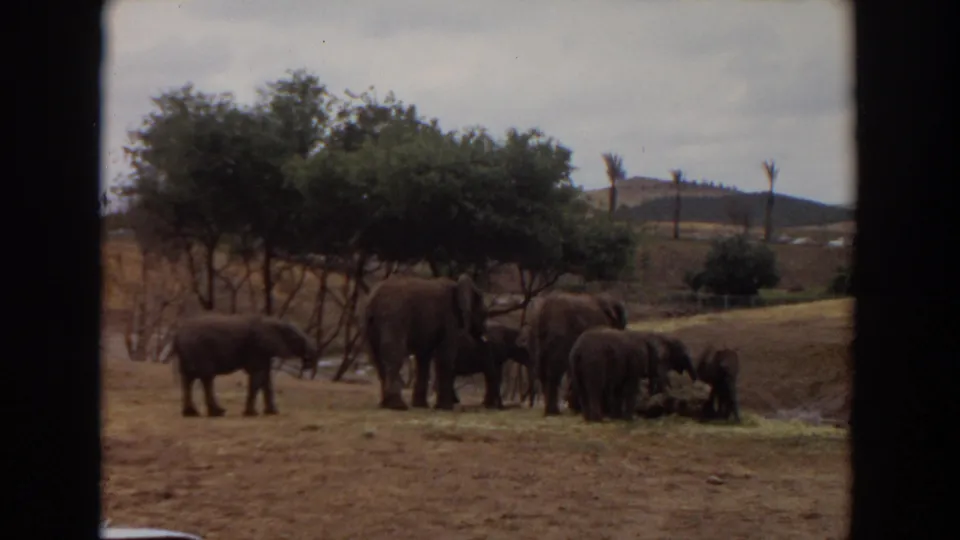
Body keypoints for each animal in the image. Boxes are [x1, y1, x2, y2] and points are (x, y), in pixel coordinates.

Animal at [172, 313, 318, 417]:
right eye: (297, 339)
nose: (306, 364)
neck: (272, 322)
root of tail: (177, 334)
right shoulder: (257, 347)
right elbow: (258, 376)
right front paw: (251, 414)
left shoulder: (263, 352)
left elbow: (266, 379)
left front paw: (273, 413)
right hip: (200, 351)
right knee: (206, 378)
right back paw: (218, 413)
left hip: (187, 354)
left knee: (188, 379)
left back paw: (191, 414)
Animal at [362, 273, 488, 411]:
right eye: (484, 313)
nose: (482, 333)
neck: (458, 284)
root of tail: (372, 301)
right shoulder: (450, 318)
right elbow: (445, 356)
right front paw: (445, 408)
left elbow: (423, 358)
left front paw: (421, 406)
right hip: (393, 317)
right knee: (394, 355)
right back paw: (398, 406)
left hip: (369, 323)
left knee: (376, 357)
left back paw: (385, 404)